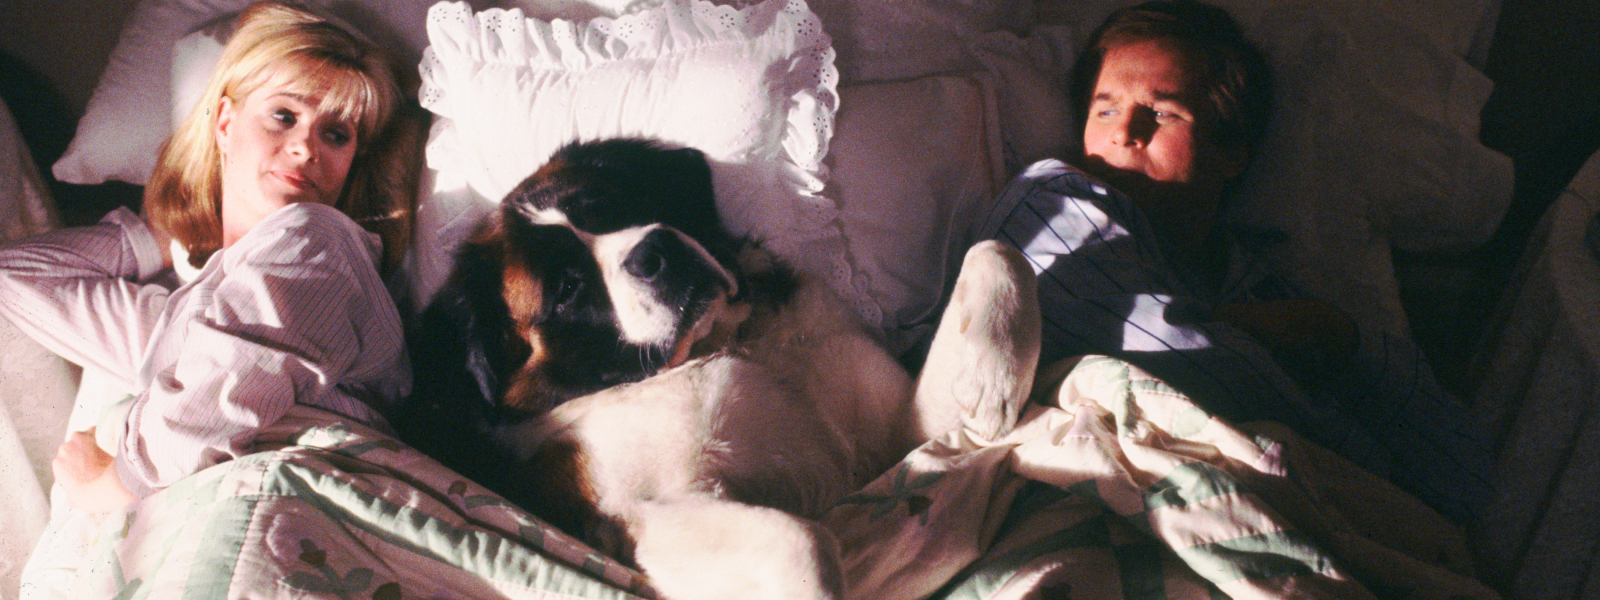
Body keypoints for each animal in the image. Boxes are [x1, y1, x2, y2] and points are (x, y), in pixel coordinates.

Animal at [397, 138, 1041, 600]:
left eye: (615, 205)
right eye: (566, 290)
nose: (654, 250)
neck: (732, 343)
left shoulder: (899, 444)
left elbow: (994, 250)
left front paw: (991, 380)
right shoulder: (641, 516)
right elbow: (803, 539)